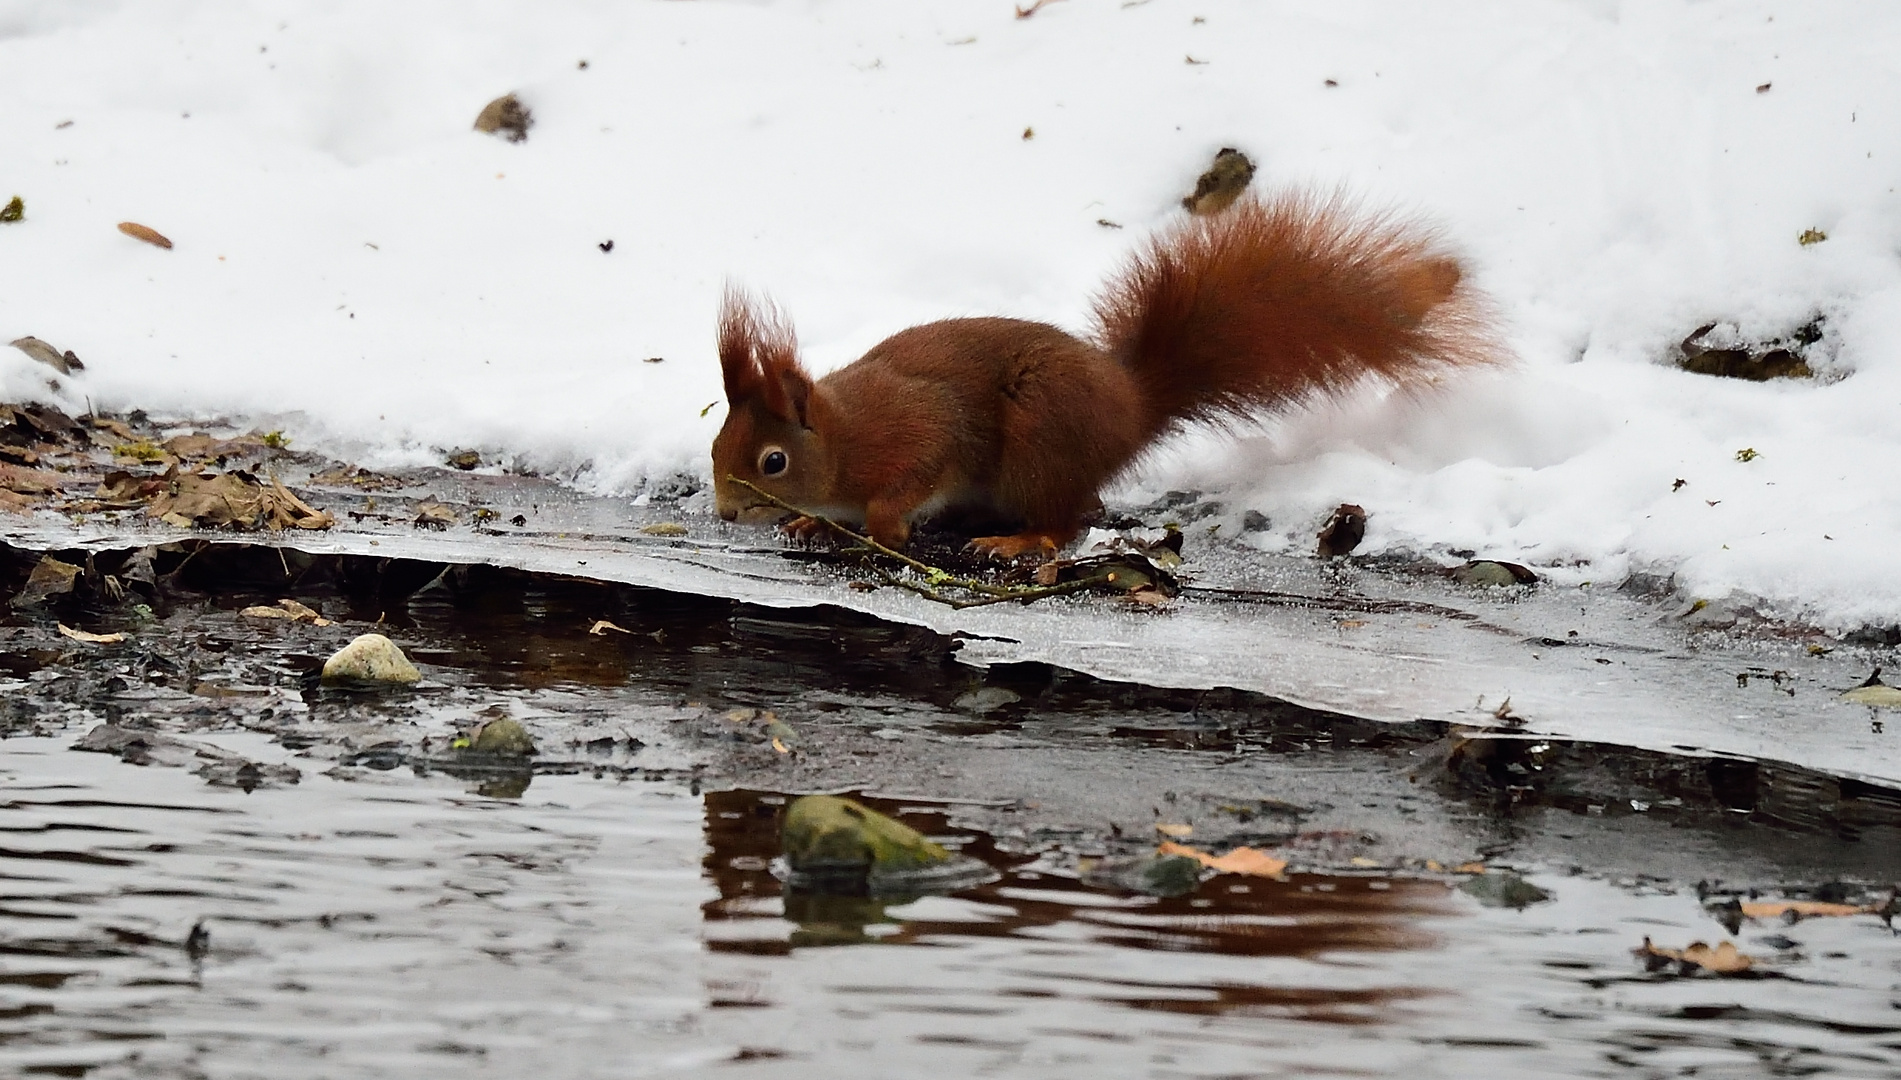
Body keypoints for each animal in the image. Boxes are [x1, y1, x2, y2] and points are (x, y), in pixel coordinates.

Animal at [714, 187, 1497, 555]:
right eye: (718, 446)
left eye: (773, 460)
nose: (723, 511)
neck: (843, 438)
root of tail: (1129, 409)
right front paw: (809, 524)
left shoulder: (920, 431)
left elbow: (923, 463)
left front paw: (881, 524)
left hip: (1039, 445)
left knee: (1069, 520)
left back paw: (1018, 539)